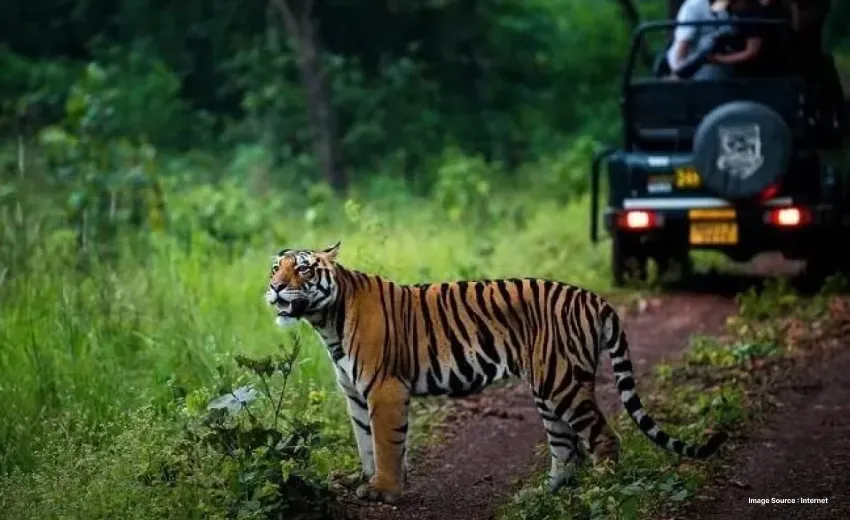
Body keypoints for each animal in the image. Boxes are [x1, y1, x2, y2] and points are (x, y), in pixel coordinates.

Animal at [265, 242, 727, 504]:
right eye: (276, 267)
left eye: (303, 268)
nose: (274, 288)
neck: (326, 322)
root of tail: (594, 298)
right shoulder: (356, 395)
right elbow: (365, 444)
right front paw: (368, 481)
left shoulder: (385, 389)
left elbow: (385, 444)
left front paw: (386, 491)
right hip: (548, 386)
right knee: (565, 448)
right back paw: (547, 493)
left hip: (562, 383)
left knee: (602, 437)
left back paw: (603, 489)